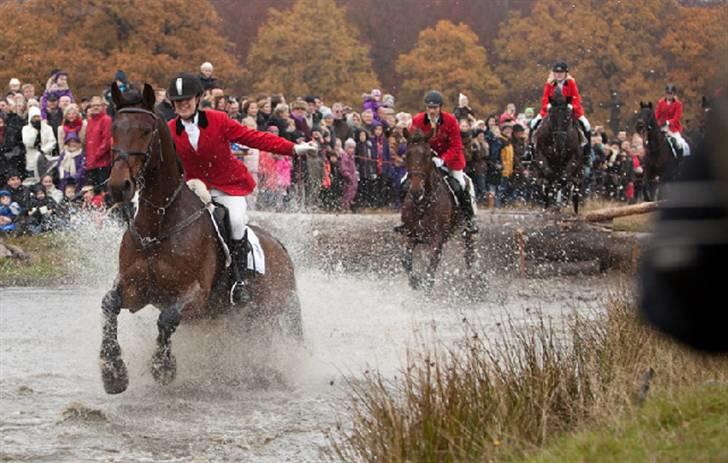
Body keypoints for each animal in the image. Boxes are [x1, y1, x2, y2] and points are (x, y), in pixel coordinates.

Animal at [99, 83, 302, 396]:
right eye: (114, 130)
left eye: (146, 130)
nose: (118, 186)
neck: (158, 224)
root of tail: (280, 247)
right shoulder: (136, 290)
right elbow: (109, 305)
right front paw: (113, 372)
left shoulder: (194, 296)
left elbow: (167, 319)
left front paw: (163, 368)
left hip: (271, 311)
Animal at [398, 130, 478, 290]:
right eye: (407, 155)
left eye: (427, 156)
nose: (416, 191)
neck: (423, 203)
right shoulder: (411, 234)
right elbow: (406, 259)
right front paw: (415, 282)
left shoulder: (437, 238)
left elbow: (431, 270)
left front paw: (425, 286)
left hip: (467, 232)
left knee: (469, 257)